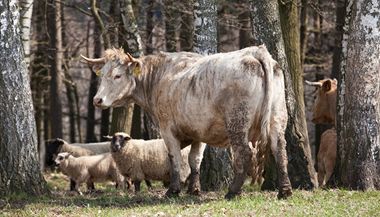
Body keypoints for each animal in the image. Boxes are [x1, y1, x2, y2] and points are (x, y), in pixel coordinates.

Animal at [81, 46, 292, 199]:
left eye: (117, 75)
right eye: (102, 74)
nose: (97, 100)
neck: (158, 77)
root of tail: (255, 51)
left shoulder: (167, 129)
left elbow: (174, 158)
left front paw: (173, 190)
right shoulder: (199, 131)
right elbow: (194, 160)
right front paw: (194, 190)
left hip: (238, 124)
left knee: (244, 154)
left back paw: (233, 191)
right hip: (277, 118)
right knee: (280, 149)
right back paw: (285, 191)